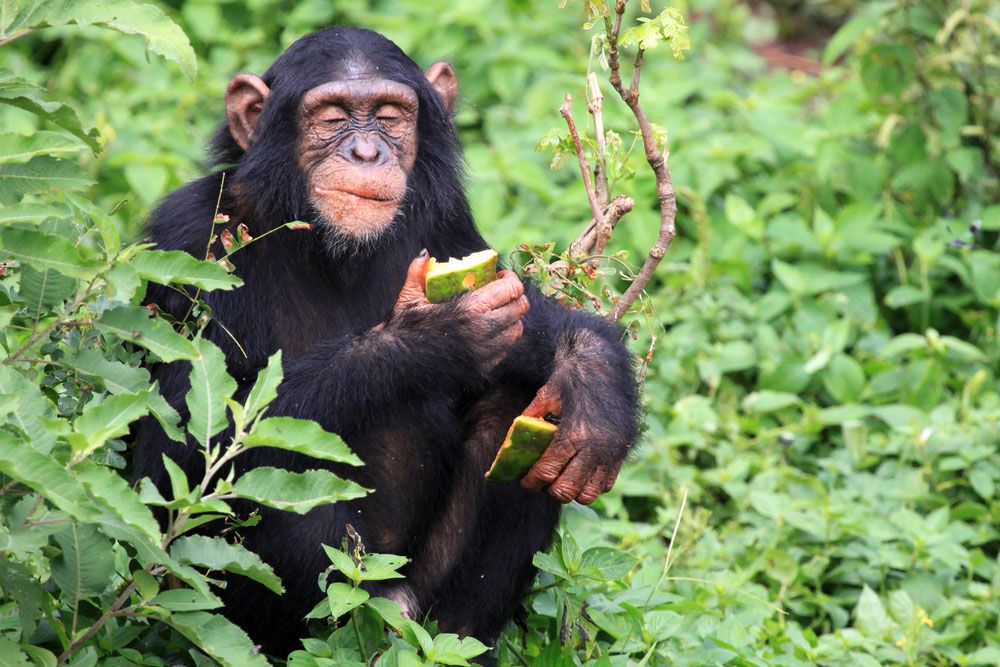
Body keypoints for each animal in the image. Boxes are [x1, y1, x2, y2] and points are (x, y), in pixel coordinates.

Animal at [133, 27, 640, 656]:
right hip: (339, 601)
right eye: (331, 117)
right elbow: (176, 457)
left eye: (391, 116)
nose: (366, 153)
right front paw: (432, 338)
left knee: (522, 412)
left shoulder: (448, 222)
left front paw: (594, 377)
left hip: (419, 595)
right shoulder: (187, 241)